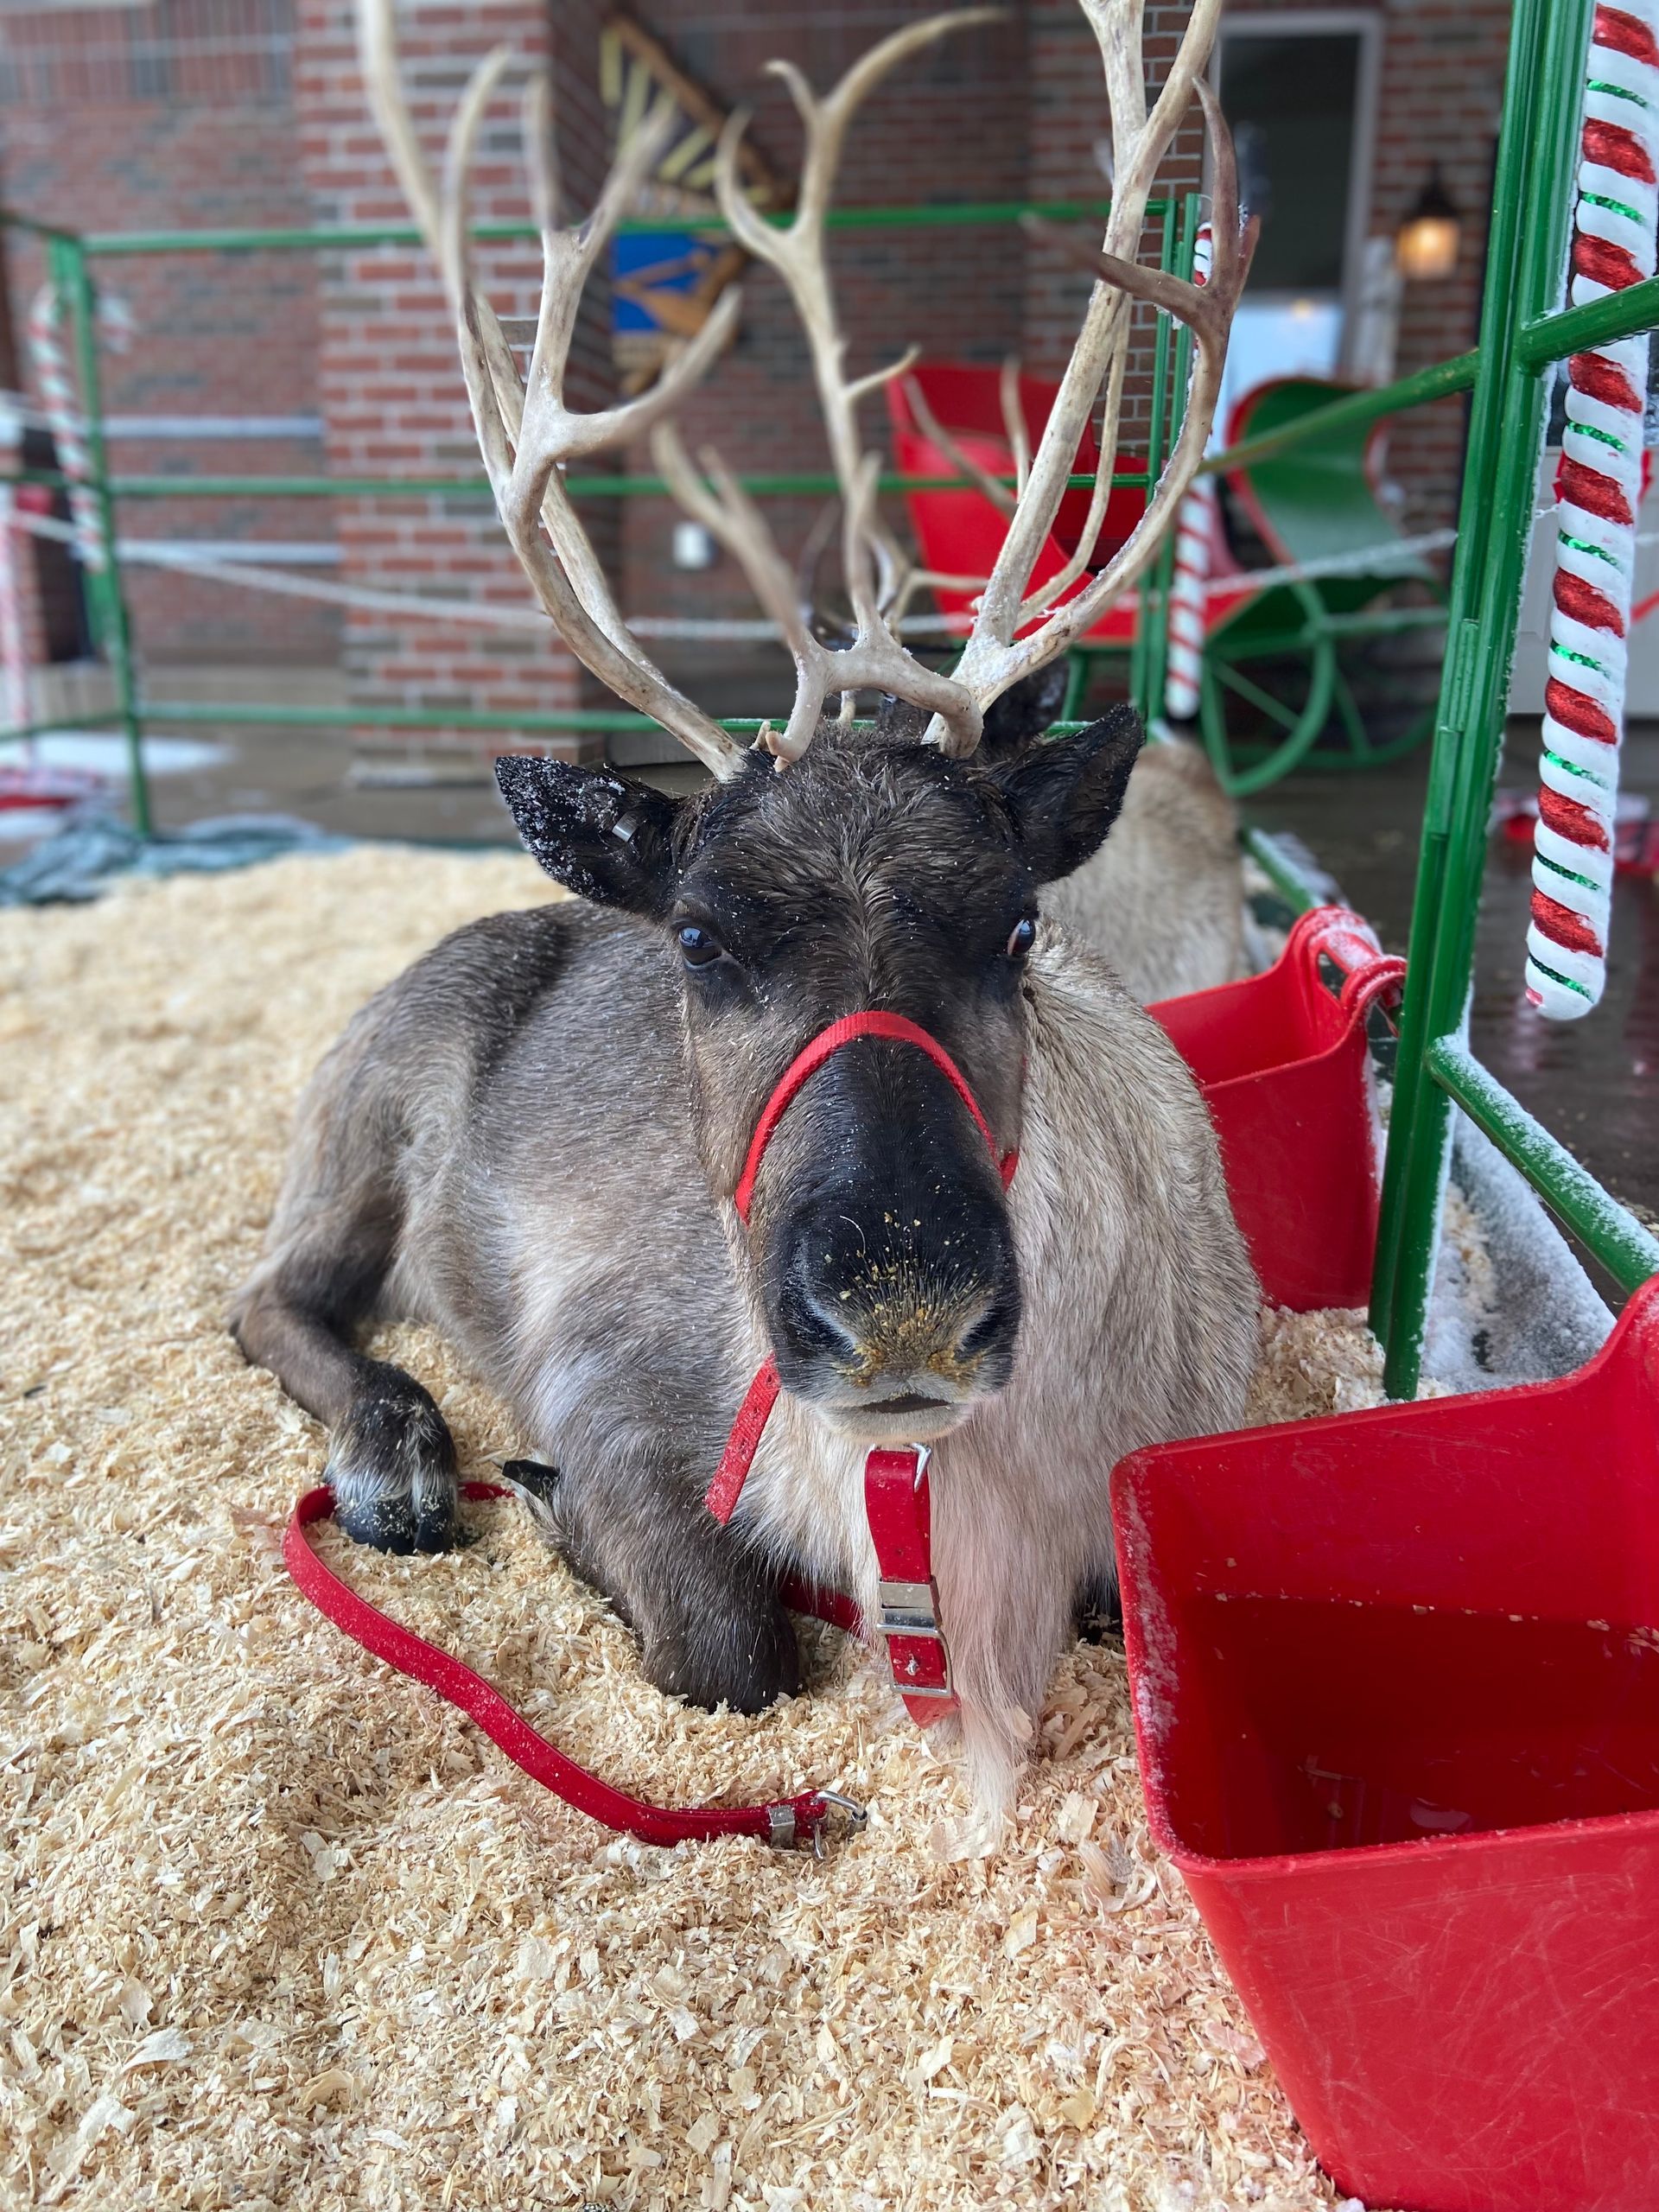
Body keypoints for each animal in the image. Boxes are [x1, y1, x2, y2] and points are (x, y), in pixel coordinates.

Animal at [233, 0, 1261, 1823]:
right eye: (700, 940)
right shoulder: (614, 1385)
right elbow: (729, 1645)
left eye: (1018, 928)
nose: (903, 1304)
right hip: (362, 1118)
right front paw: (553, 1517)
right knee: (276, 1297)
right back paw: (400, 1462)